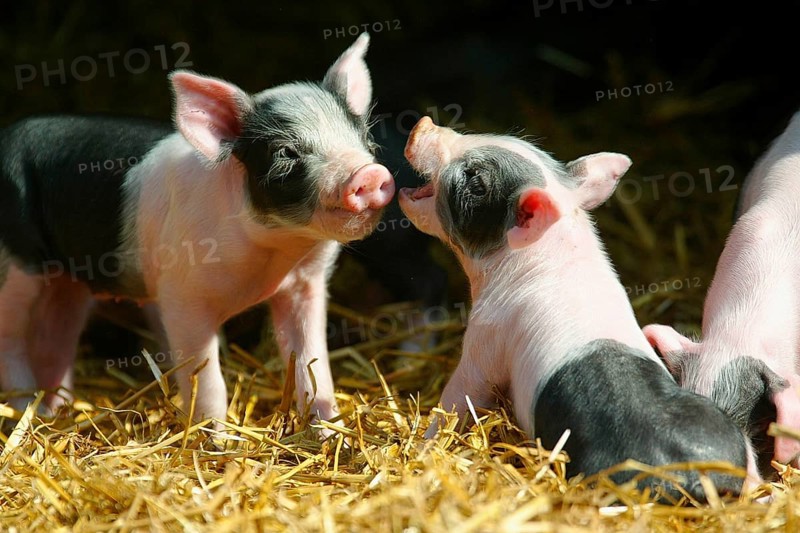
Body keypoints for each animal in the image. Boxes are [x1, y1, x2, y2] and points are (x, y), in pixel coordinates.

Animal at [0, 33, 395, 428]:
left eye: (364, 137)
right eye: (285, 152)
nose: (370, 174)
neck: (273, 254)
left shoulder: (306, 285)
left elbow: (313, 366)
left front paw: (329, 431)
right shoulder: (182, 295)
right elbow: (206, 379)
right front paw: (214, 437)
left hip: (68, 278)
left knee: (55, 338)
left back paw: (55, 410)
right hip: (15, 265)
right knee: (12, 340)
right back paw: (24, 411)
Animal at [399, 116, 748, 500]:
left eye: (474, 178)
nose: (423, 122)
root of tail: (693, 473)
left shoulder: (486, 338)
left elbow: (458, 398)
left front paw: (422, 447)